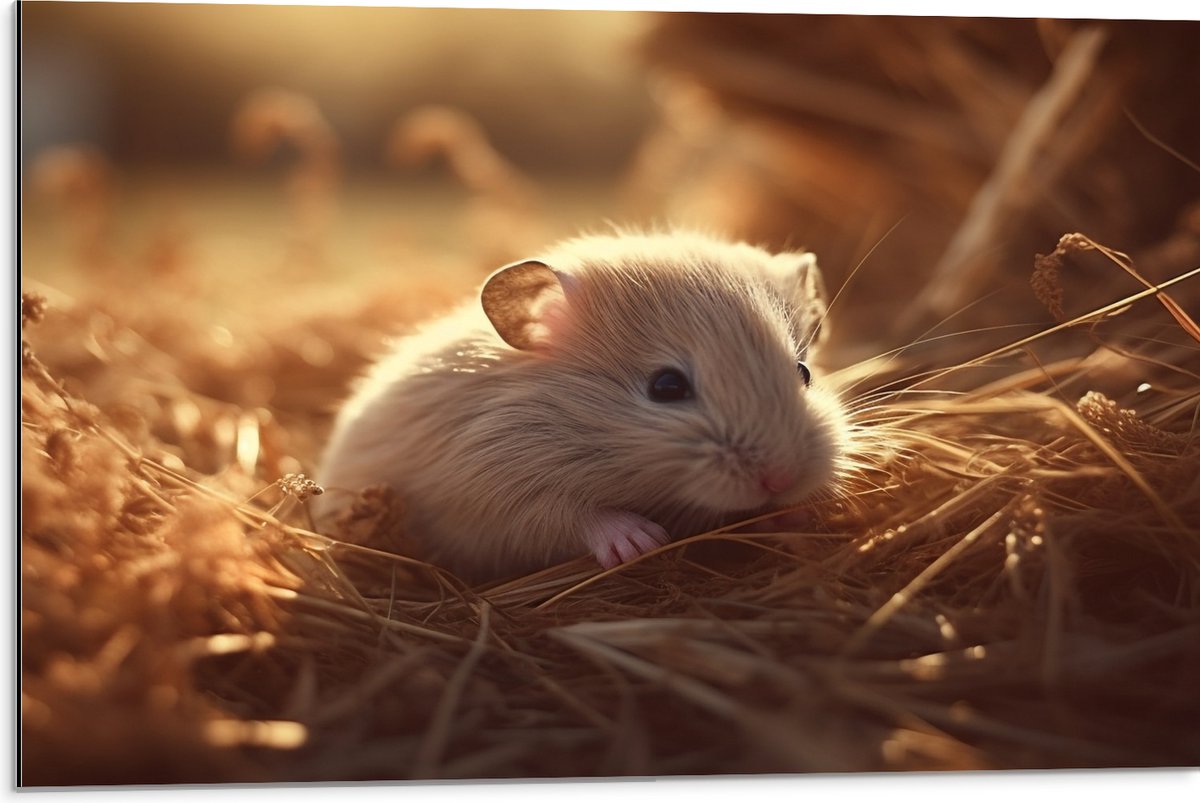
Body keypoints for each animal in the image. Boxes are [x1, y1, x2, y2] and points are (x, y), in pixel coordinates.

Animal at [312, 231, 848, 583]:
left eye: (804, 372)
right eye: (666, 386)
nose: (781, 479)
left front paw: (797, 517)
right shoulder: (490, 494)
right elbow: (570, 514)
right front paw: (642, 542)